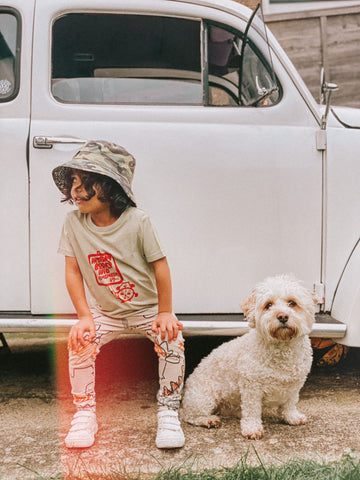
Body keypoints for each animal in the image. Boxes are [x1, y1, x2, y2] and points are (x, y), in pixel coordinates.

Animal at [183, 274, 318, 438]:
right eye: (268, 305)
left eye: (292, 302)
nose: (283, 316)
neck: (282, 348)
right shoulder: (252, 388)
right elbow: (252, 410)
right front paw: (252, 428)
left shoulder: (294, 385)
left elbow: (290, 404)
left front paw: (292, 417)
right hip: (204, 398)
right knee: (190, 416)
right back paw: (207, 420)